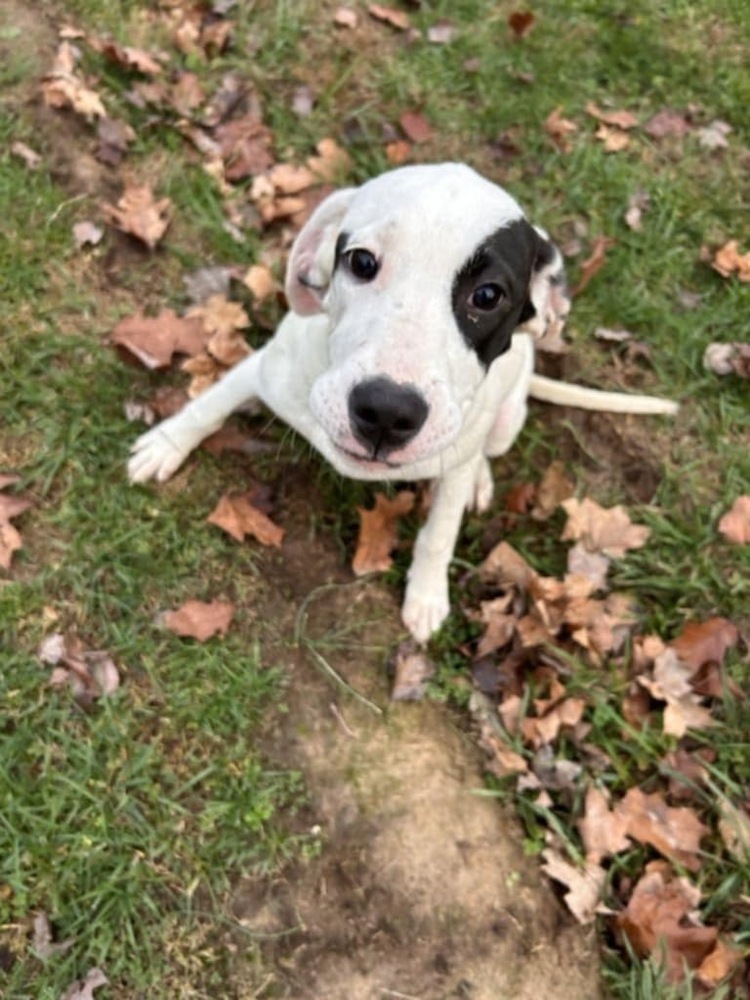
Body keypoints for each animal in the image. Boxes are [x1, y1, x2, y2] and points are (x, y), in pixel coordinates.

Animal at [131, 157, 680, 640]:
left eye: (488, 295)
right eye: (361, 261)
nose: (386, 412)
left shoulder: (452, 467)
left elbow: (440, 533)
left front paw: (427, 595)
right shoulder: (266, 371)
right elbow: (208, 404)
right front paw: (165, 445)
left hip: (506, 420)